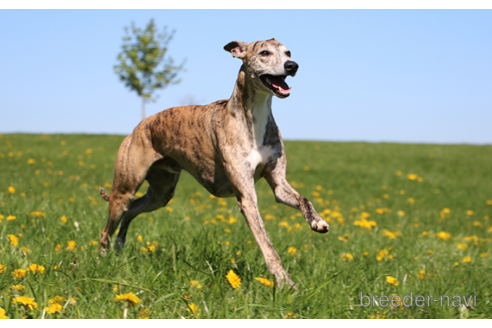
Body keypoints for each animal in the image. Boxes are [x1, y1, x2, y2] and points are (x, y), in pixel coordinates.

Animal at [99, 38, 330, 288]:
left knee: (132, 210)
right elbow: (267, 245)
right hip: (125, 188)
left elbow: (303, 199)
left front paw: (317, 221)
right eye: (264, 53)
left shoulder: (278, 183)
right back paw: (102, 261)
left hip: (161, 193)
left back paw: (119, 247)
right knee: (109, 226)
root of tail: (139, 126)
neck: (253, 116)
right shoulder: (247, 198)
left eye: (288, 52)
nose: (292, 66)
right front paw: (285, 282)